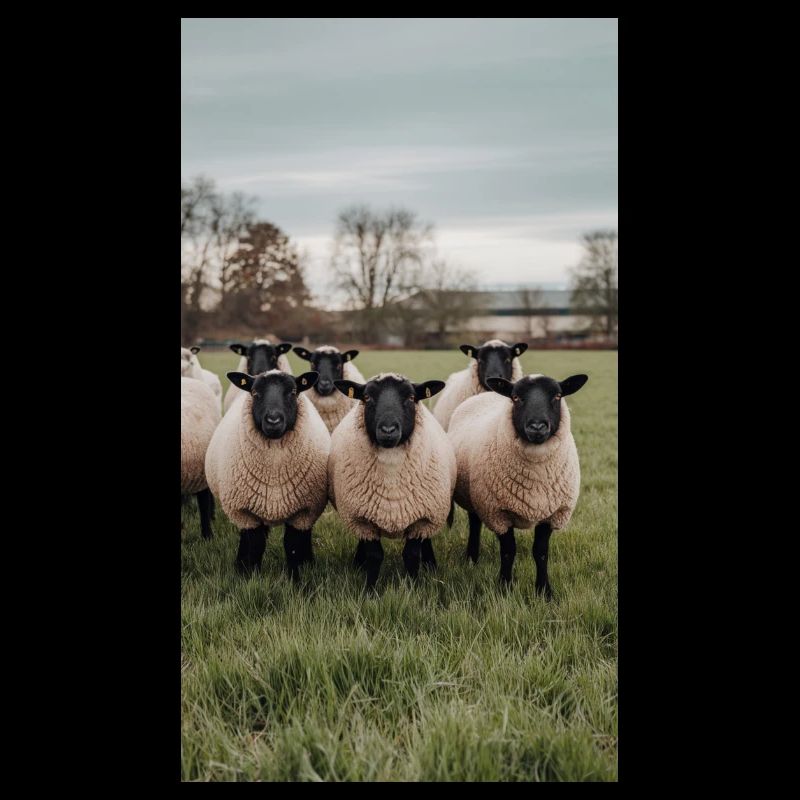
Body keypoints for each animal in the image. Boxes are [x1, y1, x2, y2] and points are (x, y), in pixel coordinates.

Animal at [205, 368, 331, 580]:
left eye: (293, 392)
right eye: (255, 393)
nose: (273, 421)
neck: (274, 469)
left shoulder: (304, 510)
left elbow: (293, 545)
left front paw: (295, 578)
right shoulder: (244, 511)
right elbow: (255, 545)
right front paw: (249, 578)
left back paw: (309, 562)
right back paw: (240, 565)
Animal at [328, 373, 455, 589]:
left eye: (411, 398)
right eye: (367, 397)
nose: (388, 430)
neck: (392, 482)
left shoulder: (421, 518)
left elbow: (411, 555)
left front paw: (413, 588)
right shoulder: (362, 519)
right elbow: (375, 556)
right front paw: (369, 590)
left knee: (427, 540)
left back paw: (431, 564)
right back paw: (358, 563)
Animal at [447, 372, 588, 597]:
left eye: (557, 396)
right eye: (515, 398)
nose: (537, 427)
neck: (536, 477)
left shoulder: (553, 513)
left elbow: (540, 552)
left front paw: (544, 591)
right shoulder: (498, 513)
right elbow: (508, 551)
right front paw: (504, 587)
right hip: (476, 496)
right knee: (475, 523)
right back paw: (472, 558)